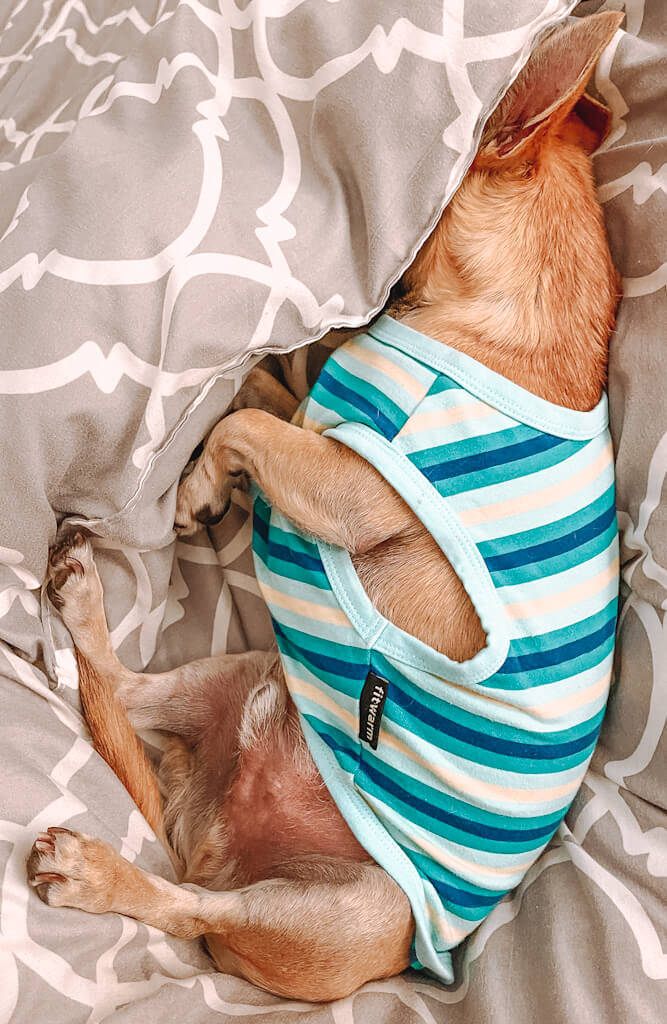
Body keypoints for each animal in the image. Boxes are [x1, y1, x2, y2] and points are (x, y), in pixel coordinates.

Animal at [27, 12, 622, 1003]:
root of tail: (213, 841)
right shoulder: (321, 433)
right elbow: (267, 399)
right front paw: (232, 427)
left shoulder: (353, 484)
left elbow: (252, 423)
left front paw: (201, 483)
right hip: (237, 674)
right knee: (117, 688)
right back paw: (82, 604)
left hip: (335, 908)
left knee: (184, 908)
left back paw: (95, 873)